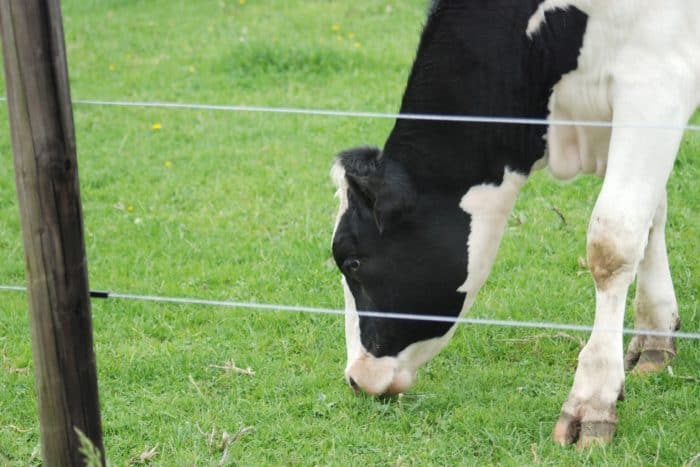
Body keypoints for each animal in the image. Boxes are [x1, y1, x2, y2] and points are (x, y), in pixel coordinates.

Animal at [330, 1, 700, 452]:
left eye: (352, 262)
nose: (355, 378)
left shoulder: (657, 83)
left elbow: (612, 241)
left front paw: (591, 401)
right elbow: (650, 214)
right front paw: (656, 338)